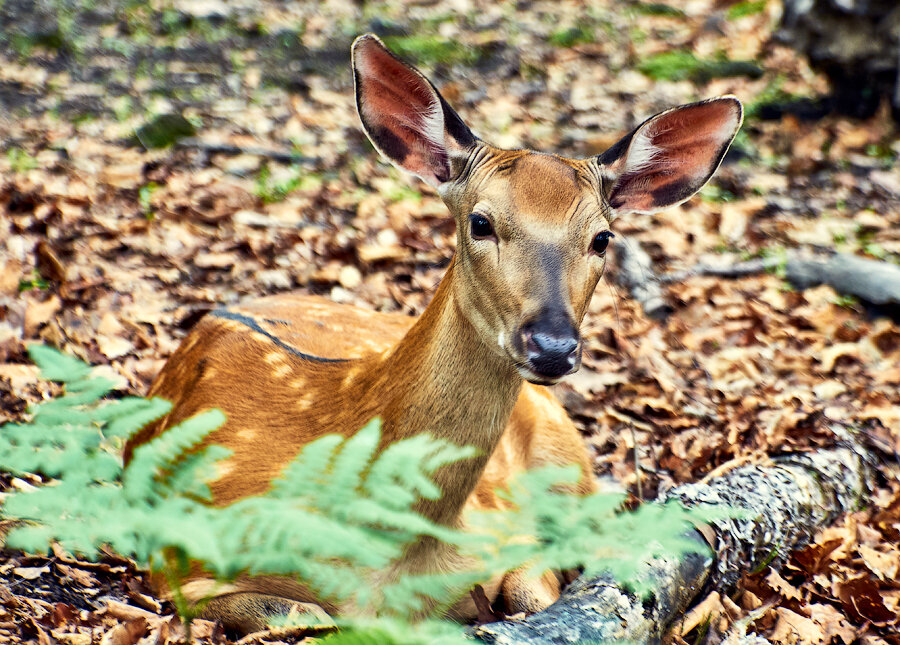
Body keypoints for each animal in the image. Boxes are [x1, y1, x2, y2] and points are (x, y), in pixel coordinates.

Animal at [125, 35, 744, 632]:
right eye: (480, 222)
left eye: (602, 238)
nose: (552, 347)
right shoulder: (183, 563)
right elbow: (298, 615)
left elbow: (531, 590)